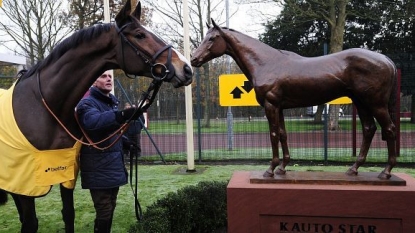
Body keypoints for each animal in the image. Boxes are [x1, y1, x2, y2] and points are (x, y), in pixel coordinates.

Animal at [0, 0, 193, 232]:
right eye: (139, 35)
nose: (187, 69)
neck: (44, 106)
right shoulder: (24, 183)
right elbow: (30, 222)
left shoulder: (66, 173)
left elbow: (68, 214)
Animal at [193, 20, 400, 180]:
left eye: (212, 38)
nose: (194, 59)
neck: (266, 63)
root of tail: (386, 60)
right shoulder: (279, 107)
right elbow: (283, 134)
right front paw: (282, 168)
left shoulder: (271, 106)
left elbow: (273, 135)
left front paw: (270, 169)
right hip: (361, 102)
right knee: (369, 129)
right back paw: (354, 169)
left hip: (375, 104)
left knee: (389, 129)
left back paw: (386, 172)